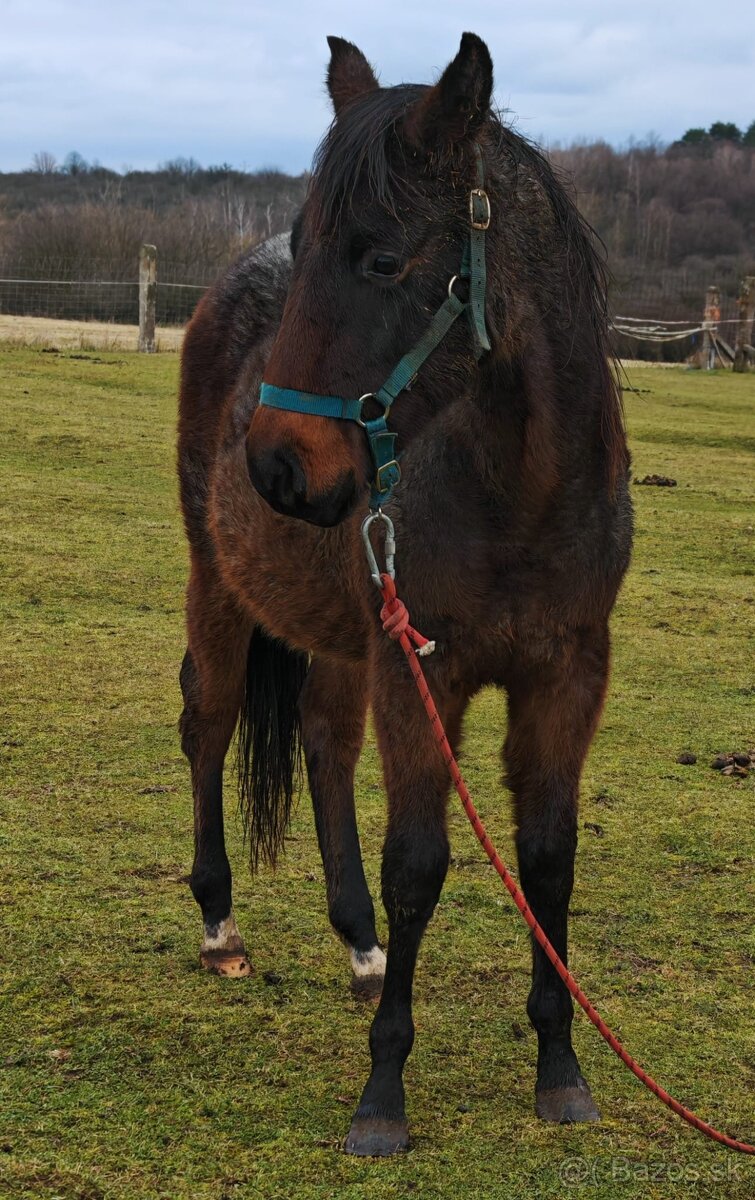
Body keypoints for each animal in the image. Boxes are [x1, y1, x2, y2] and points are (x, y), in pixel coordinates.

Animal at [176, 32, 628, 1156]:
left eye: (382, 259)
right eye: (308, 245)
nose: (278, 467)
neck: (521, 489)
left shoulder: (566, 676)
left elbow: (546, 858)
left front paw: (560, 1071)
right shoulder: (422, 669)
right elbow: (418, 862)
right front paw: (382, 1095)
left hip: (344, 636)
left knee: (322, 740)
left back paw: (359, 947)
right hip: (222, 587)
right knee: (207, 723)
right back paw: (219, 927)